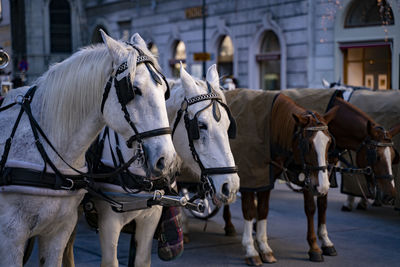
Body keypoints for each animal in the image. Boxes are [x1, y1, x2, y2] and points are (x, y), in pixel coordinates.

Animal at [223, 92, 398, 266]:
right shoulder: (302, 176)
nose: (390, 195)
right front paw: (314, 246)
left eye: (393, 156)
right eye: (375, 155)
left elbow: (321, 205)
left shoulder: (323, 174)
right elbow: (309, 208)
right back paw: (230, 224)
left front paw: (326, 241)